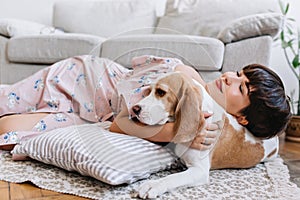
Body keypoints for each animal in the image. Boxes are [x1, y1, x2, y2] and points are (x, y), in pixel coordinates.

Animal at [131, 72, 278, 198]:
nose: (134, 109)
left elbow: (172, 178)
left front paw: (153, 185)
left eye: (161, 92)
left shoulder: (199, 171)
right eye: (149, 91)